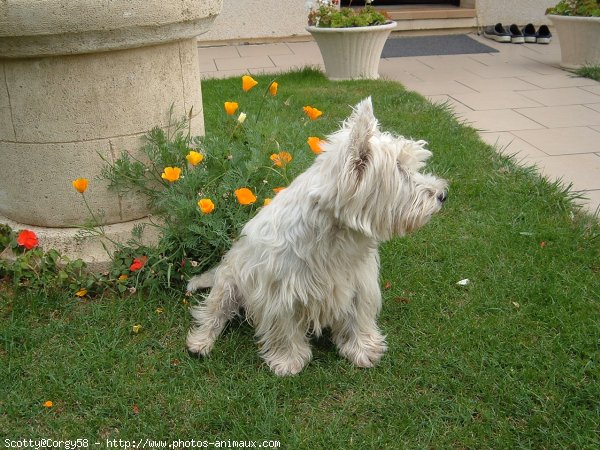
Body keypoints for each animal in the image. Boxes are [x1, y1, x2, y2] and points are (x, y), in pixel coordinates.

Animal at [188, 98, 446, 376]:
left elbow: (358, 316)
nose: (443, 195)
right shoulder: (280, 292)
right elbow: (285, 328)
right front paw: (288, 361)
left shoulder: (358, 282)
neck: (337, 232)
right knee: (212, 312)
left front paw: (362, 349)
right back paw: (200, 343)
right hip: (229, 282)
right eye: (400, 171)